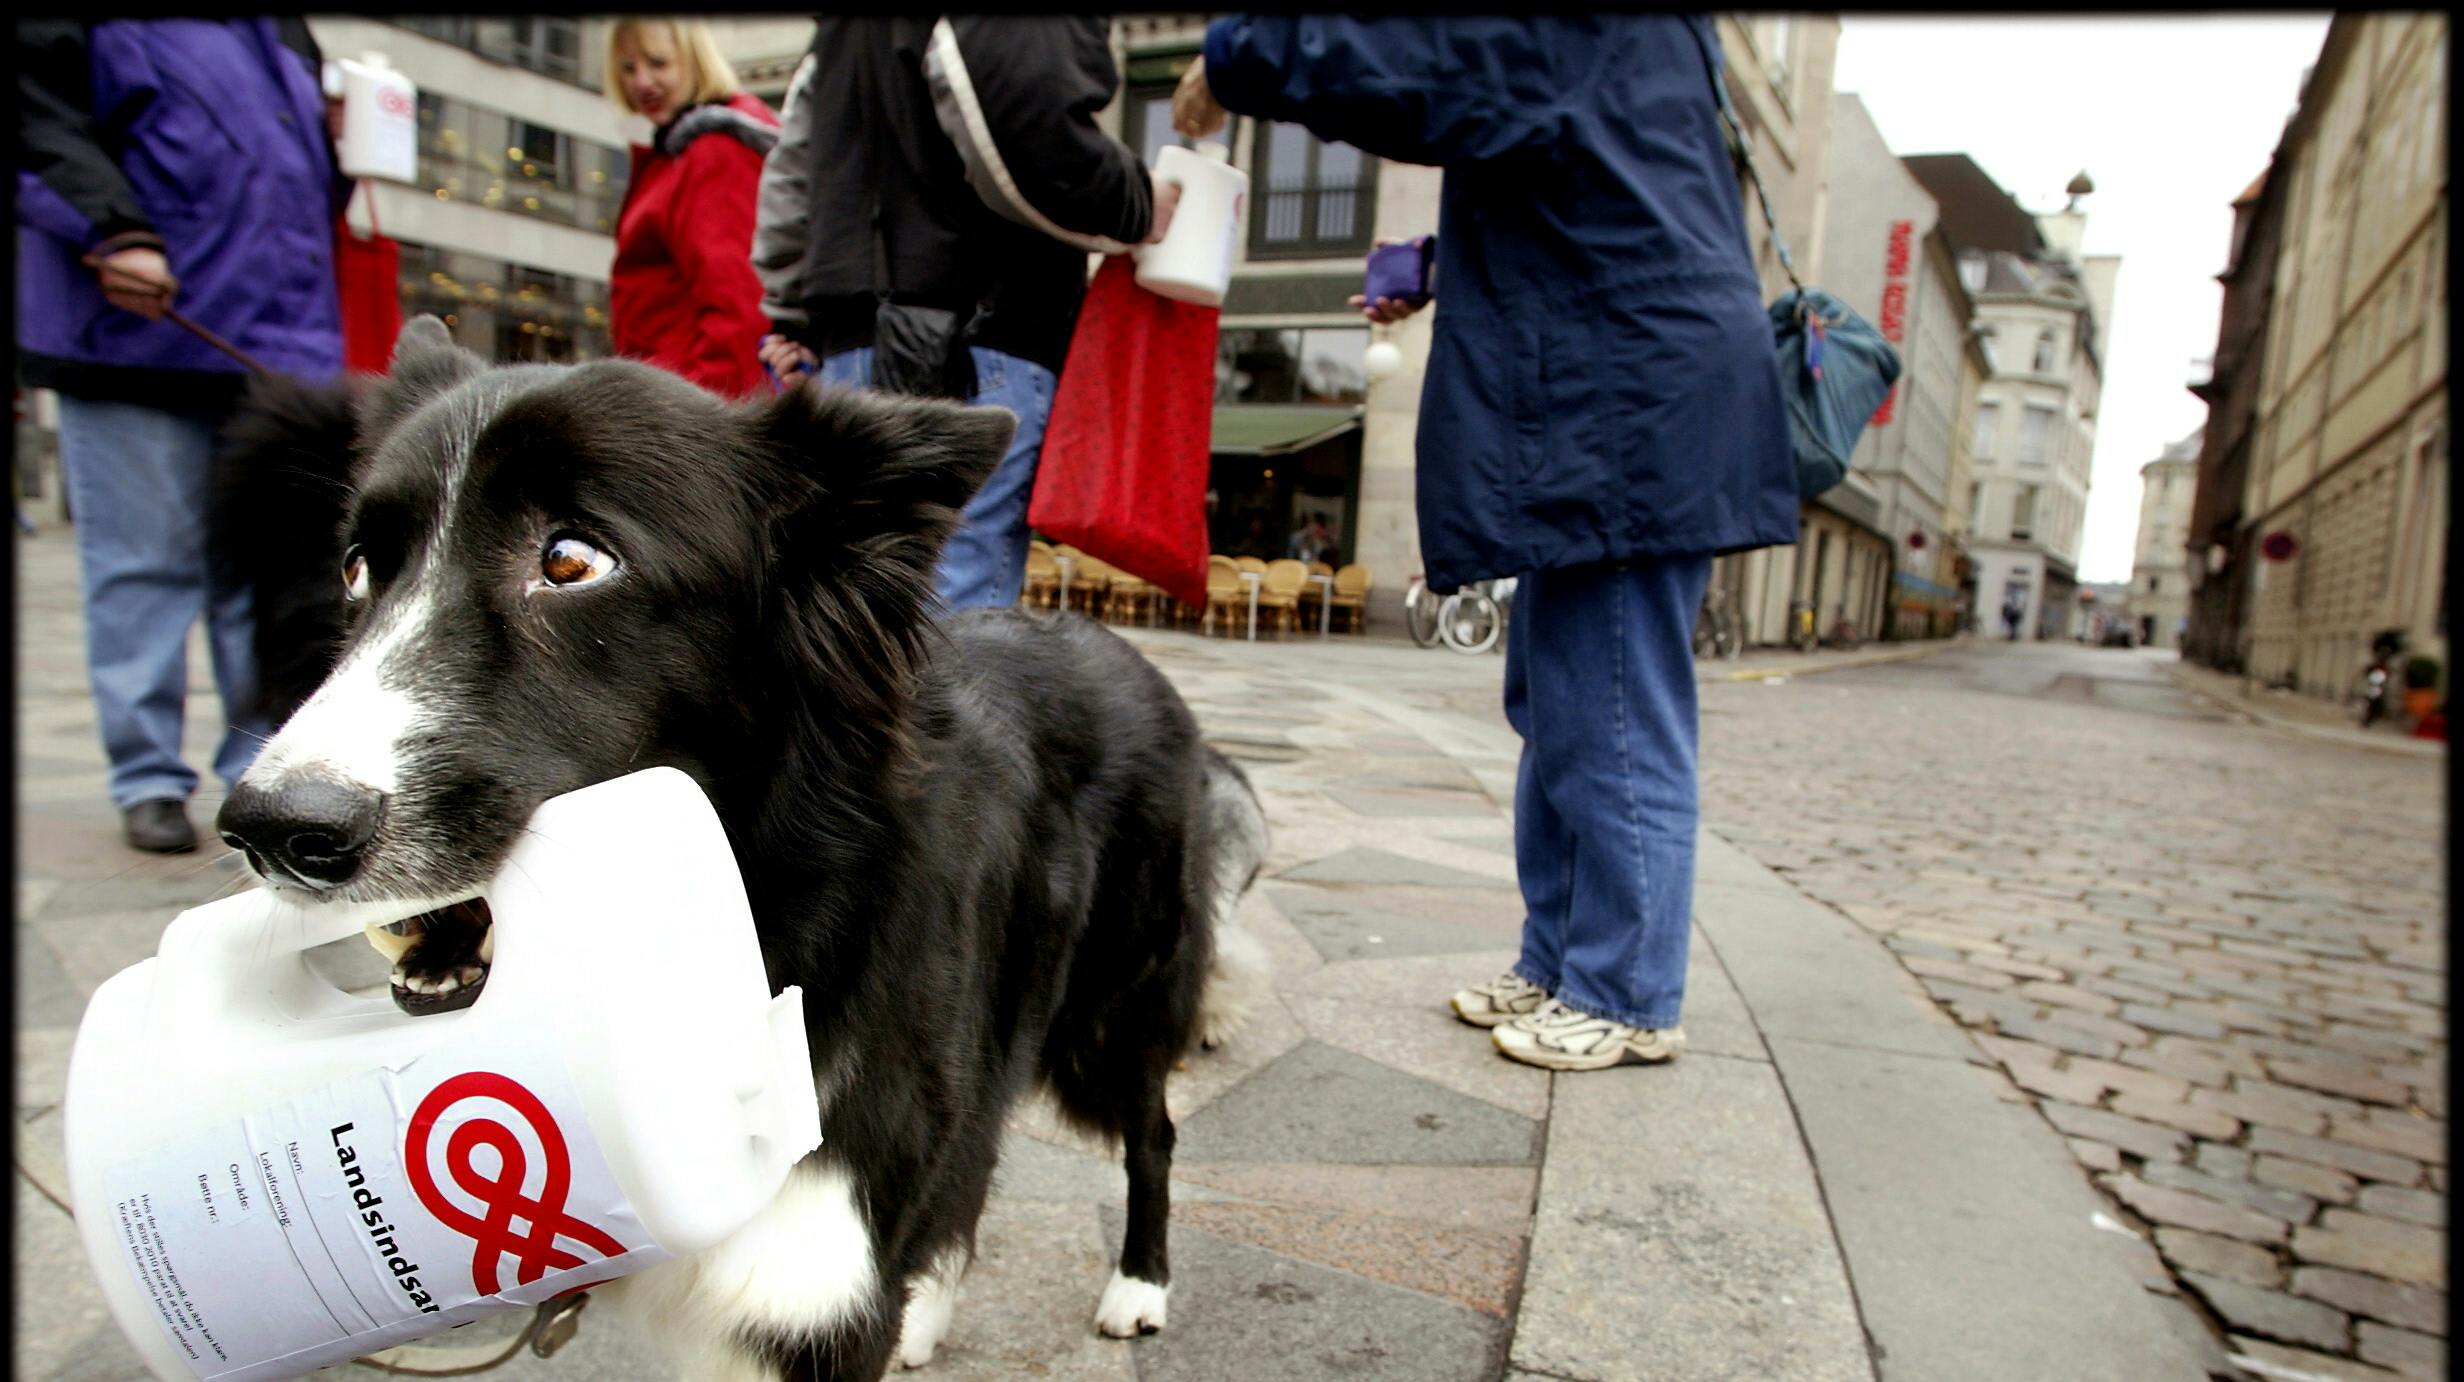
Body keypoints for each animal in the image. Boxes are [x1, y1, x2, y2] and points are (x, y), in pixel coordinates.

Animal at [216, 317, 1271, 1369]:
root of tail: (1126, 651)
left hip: (1114, 1009)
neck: (761, 921)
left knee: (1150, 1134)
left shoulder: (819, 1277)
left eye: (572, 561)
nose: (270, 829)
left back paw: (1138, 1287)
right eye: (357, 568)